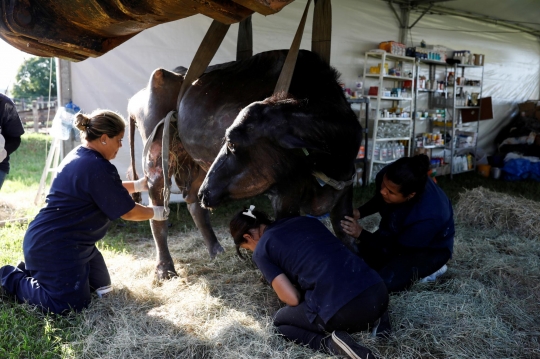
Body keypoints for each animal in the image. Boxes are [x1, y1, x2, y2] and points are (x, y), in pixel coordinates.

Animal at [128, 50, 360, 282]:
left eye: (231, 143)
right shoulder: (284, 193)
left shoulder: (346, 180)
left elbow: (345, 232)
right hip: (157, 159)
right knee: (158, 213)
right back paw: (165, 269)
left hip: (198, 167)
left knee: (194, 203)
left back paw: (216, 251)